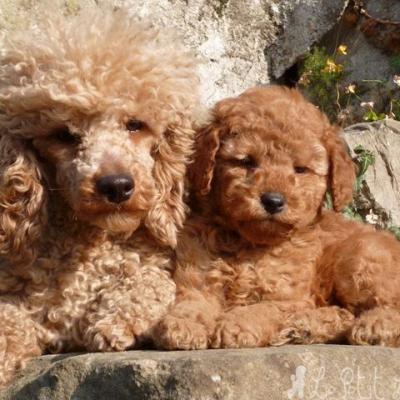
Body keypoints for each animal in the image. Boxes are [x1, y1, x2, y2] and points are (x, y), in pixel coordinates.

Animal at [0, 7, 200, 388]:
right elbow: (8, 322)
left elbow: (150, 283)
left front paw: (114, 320)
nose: (117, 186)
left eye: (135, 124)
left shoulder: (153, 265)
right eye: (63, 135)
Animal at [155, 85, 400, 350]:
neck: (247, 244)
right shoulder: (198, 280)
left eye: (300, 169)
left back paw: (375, 326)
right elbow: (193, 303)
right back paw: (306, 328)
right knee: (345, 313)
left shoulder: (287, 298)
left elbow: (264, 310)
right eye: (246, 161)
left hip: (360, 256)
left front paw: (236, 324)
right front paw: (184, 325)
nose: (273, 201)